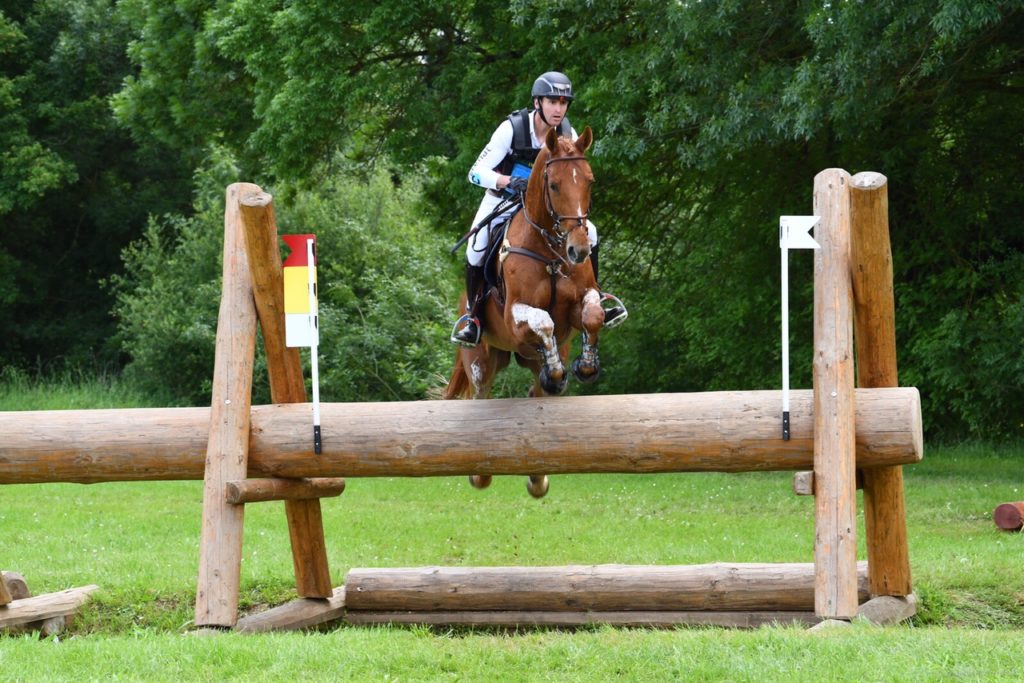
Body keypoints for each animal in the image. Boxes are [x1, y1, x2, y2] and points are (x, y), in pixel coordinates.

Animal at [442, 125, 602, 497]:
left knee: (539, 393)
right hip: (482, 359)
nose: (579, 250)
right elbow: (544, 322)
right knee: (480, 396)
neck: (550, 249)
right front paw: (557, 367)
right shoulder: (516, 316)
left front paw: (586, 366)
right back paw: (480, 474)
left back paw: (538, 476)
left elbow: (593, 316)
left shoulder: (580, 304)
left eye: (589, 181)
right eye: (554, 184)